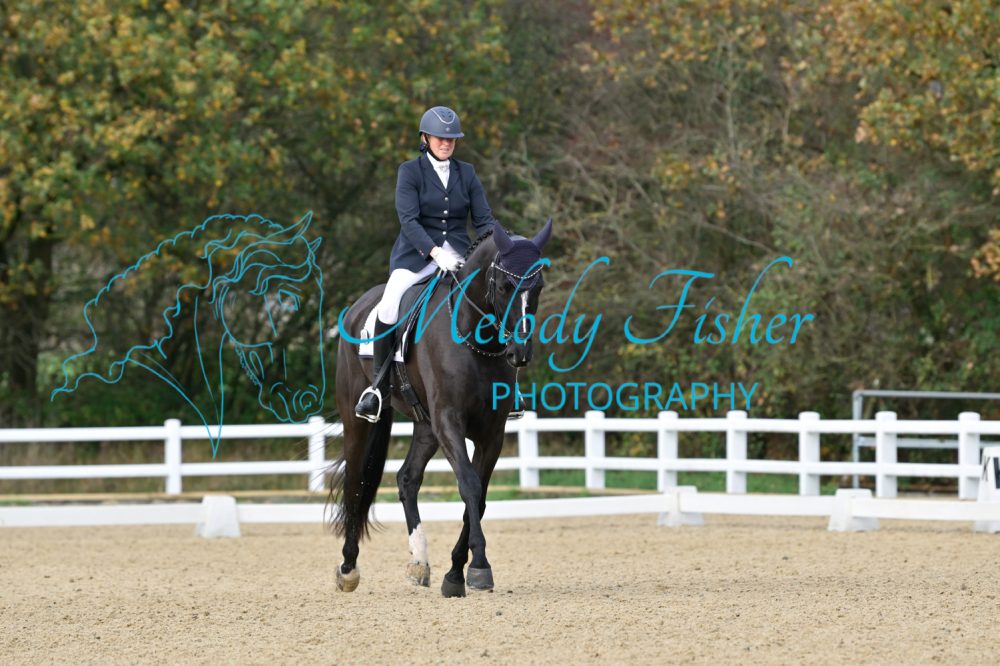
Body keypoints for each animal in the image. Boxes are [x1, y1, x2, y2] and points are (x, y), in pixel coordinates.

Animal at [330, 218, 552, 597]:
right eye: (505, 286)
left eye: (537, 287)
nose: (520, 353)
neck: (475, 338)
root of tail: (359, 304)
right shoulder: (449, 421)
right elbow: (469, 485)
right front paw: (478, 567)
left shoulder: (492, 432)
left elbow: (479, 496)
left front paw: (455, 573)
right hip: (358, 418)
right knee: (356, 481)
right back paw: (348, 568)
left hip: (425, 425)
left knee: (407, 479)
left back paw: (419, 562)